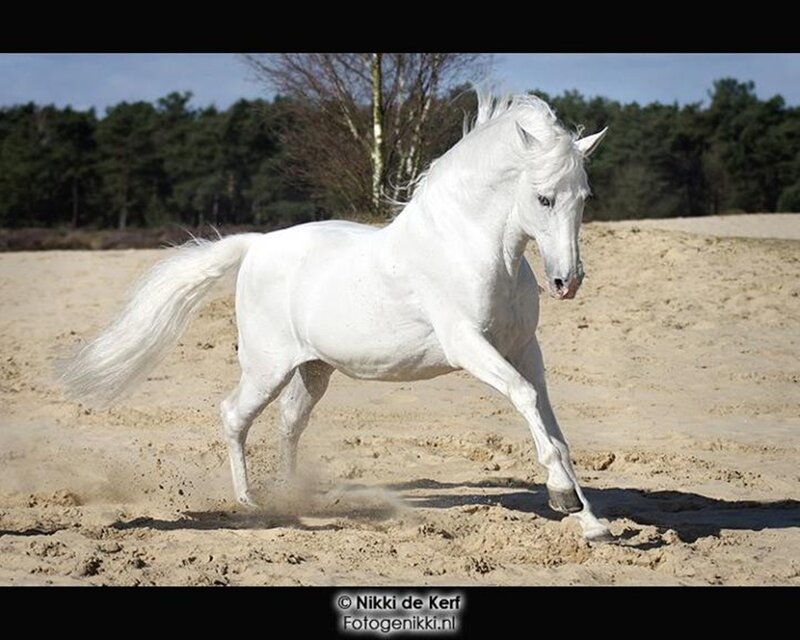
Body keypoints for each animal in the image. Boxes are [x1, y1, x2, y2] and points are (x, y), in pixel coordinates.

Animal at [60, 91, 610, 541]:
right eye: (543, 197)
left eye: (584, 197)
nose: (567, 282)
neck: (473, 248)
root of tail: (255, 245)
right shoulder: (470, 347)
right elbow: (525, 399)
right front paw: (565, 499)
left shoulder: (524, 349)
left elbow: (553, 426)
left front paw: (590, 521)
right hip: (266, 368)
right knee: (234, 415)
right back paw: (249, 503)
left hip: (314, 369)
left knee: (289, 423)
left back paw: (291, 497)